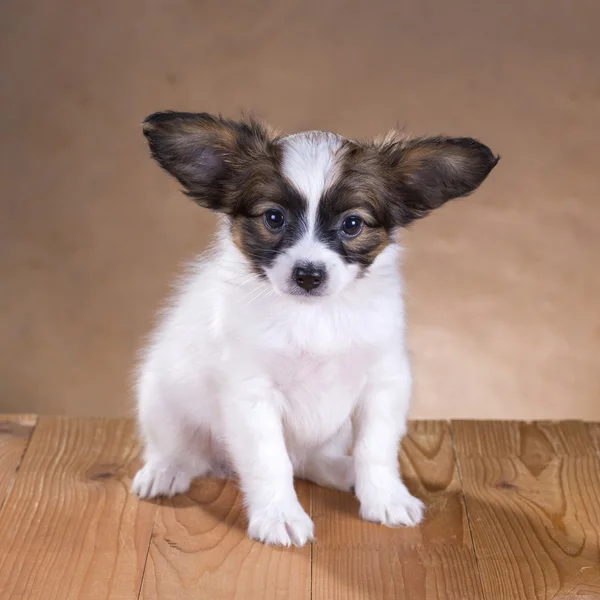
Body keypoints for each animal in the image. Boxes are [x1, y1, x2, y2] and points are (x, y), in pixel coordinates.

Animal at [134, 110, 500, 548]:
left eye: (352, 224)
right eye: (274, 218)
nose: (308, 274)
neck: (315, 316)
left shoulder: (385, 382)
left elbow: (376, 448)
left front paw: (385, 497)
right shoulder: (250, 394)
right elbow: (269, 460)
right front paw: (279, 516)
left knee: (310, 461)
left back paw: (344, 472)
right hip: (160, 401)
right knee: (176, 448)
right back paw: (164, 471)